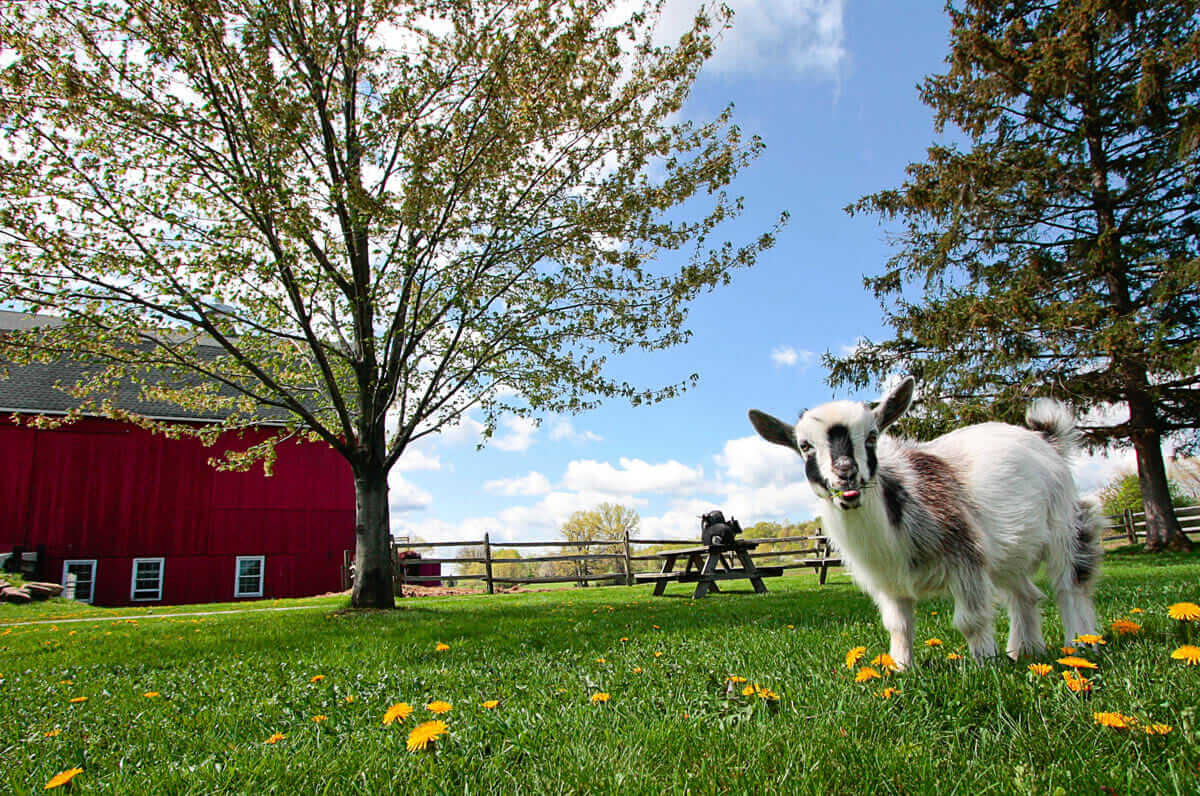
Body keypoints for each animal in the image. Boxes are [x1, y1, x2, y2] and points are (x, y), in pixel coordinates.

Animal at [748, 379, 1104, 667]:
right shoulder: (888, 581)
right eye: (805, 446)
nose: (846, 473)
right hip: (1008, 552)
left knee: (1070, 583)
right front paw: (901, 669)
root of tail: (1047, 439)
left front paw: (985, 666)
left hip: (1064, 522)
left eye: (872, 437)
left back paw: (1079, 646)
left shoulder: (965, 556)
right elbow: (899, 626)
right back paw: (1025, 651)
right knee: (1025, 595)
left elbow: (971, 620)